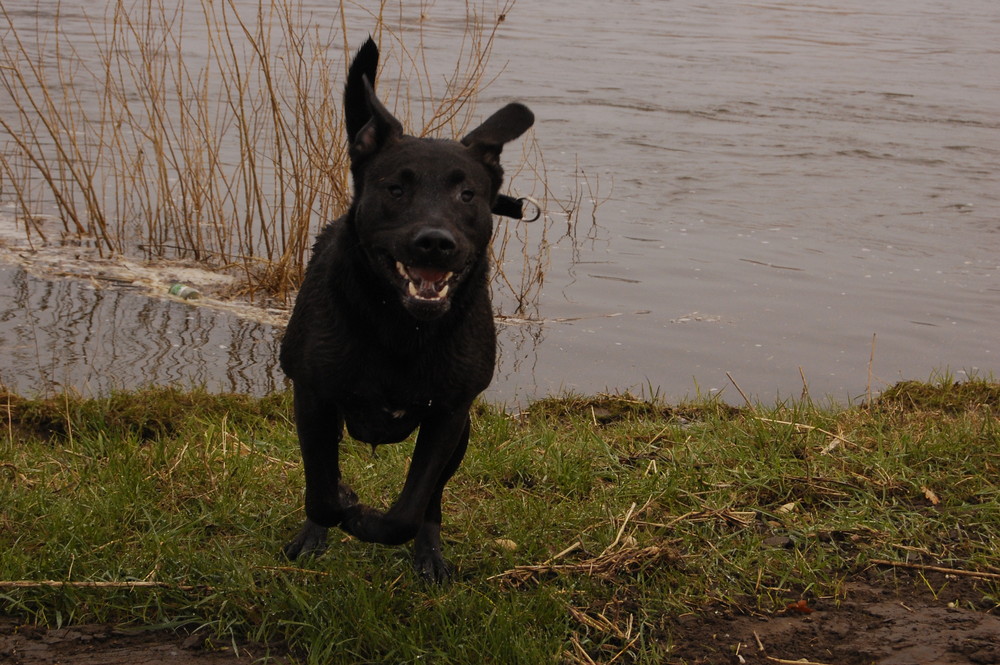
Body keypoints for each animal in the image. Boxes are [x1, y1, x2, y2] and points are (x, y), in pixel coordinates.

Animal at [278, 39, 536, 580]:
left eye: (467, 194)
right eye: (396, 188)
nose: (435, 242)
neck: (400, 328)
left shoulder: (450, 415)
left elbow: (409, 509)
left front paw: (371, 523)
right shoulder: (312, 397)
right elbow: (322, 491)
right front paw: (343, 506)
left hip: (462, 436)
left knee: (431, 501)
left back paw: (429, 555)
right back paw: (315, 533)